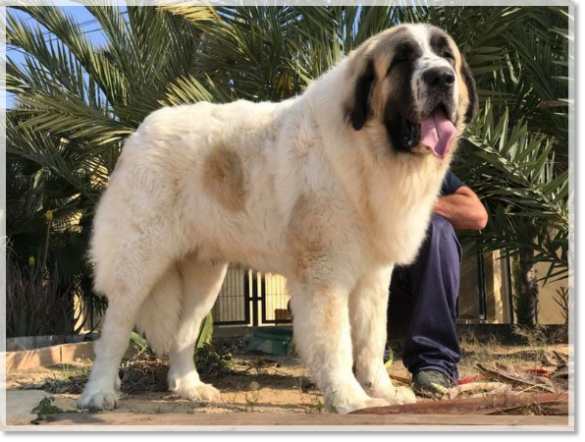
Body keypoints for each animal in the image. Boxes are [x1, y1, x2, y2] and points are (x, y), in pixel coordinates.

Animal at [77, 22, 476, 412]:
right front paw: (350, 398)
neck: (368, 149)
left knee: (184, 332)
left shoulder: (374, 276)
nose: (441, 78)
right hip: (139, 263)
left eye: (446, 56)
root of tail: (138, 133)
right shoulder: (325, 274)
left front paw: (384, 391)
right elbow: (337, 342)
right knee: (114, 330)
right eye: (403, 59)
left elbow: (372, 339)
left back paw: (190, 387)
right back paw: (98, 393)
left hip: (205, 277)